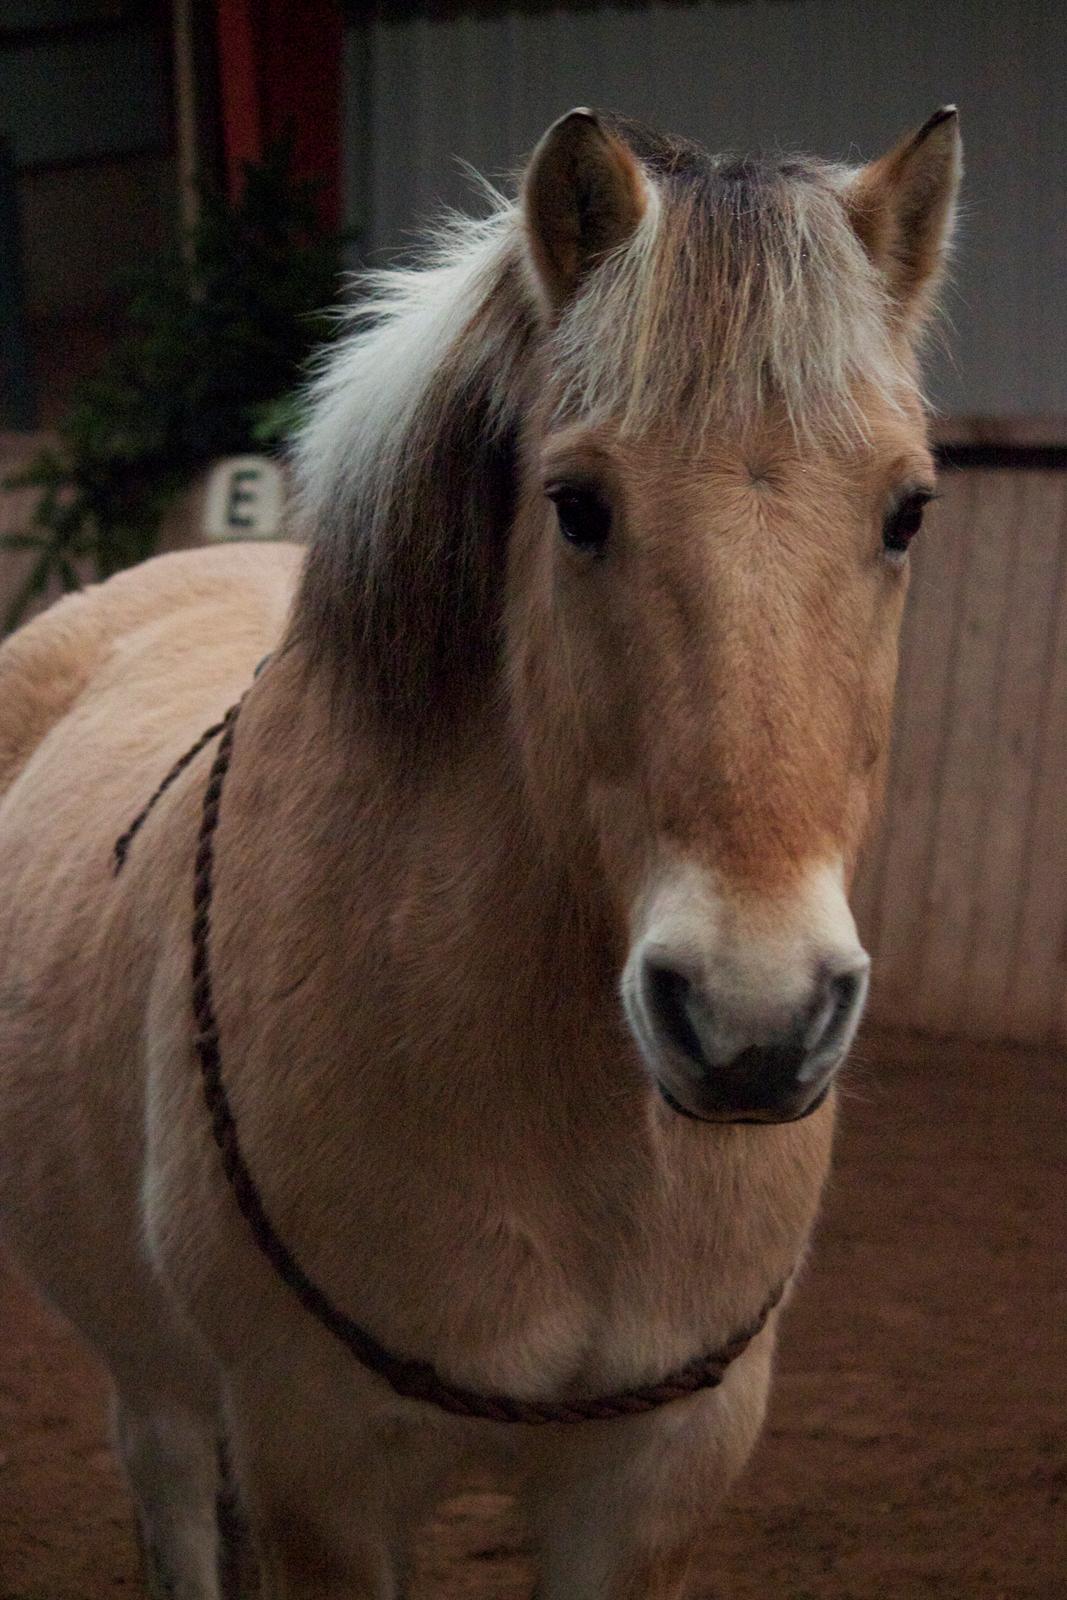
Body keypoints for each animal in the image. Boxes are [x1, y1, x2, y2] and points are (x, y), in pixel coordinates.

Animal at [0, 106, 966, 1593]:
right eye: (575, 504)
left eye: (903, 510)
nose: (750, 1020)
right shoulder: (323, 1478)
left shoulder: (639, 1491)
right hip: (152, 1380)